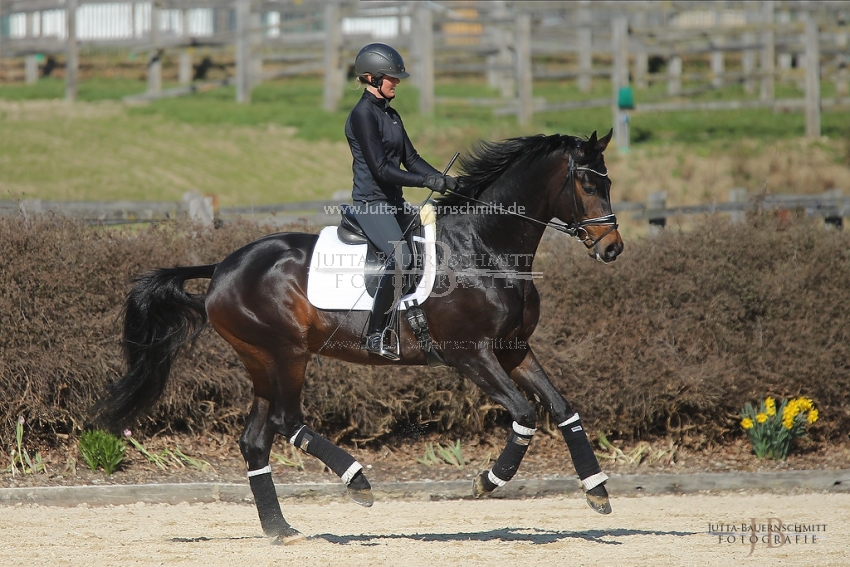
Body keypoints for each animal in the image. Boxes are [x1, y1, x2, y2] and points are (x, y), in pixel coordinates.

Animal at [91, 129, 624, 544]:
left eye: (608, 182)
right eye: (586, 183)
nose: (613, 248)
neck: (483, 248)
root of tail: (223, 266)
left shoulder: (514, 351)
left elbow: (562, 407)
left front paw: (597, 491)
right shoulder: (471, 356)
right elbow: (525, 414)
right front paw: (487, 481)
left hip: (261, 359)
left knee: (256, 439)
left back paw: (281, 530)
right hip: (286, 353)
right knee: (286, 420)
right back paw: (357, 481)